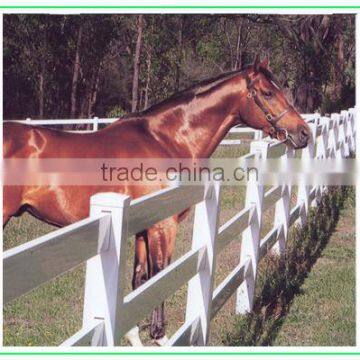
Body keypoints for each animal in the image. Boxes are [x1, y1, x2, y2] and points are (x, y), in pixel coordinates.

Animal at [2, 56, 310, 346]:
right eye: (268, 92)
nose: (303, 132)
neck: (165, 140)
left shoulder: (141, 228)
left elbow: (140, 280)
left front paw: (133, 335)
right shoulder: (163, 225)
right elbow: (159, 276)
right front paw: (160, 336)